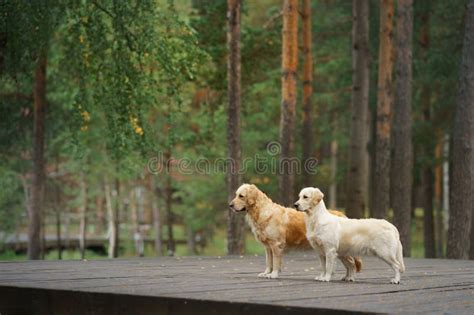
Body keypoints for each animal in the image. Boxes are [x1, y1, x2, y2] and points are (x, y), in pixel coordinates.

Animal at [230, 184, 362, 280]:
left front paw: (273, 274)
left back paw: (350, 278)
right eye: (236, 195)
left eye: (241, 196)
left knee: (352, 263)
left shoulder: (276, 245)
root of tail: (342, 214)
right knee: (349, 263)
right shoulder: (268, 247)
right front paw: (266, 273)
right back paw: (346, 277)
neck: (261, 212)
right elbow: (269, 262)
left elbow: (276, 262)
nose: (230, 205)